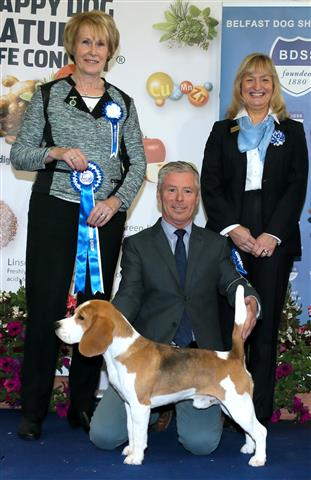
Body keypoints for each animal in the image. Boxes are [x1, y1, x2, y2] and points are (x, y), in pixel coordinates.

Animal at [54, 286, 266, 466]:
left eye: (81, 317)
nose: (56, 325)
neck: (122, 351)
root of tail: (233, 356)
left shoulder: (140, 406)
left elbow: (140, 435)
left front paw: (136, 457)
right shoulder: (129, 405)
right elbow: (131, 431)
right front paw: (131, 449)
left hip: (238, 406)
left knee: (260, 430)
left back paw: (258, 459)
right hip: (231, 407)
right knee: (250, 431)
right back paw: (249, 448)